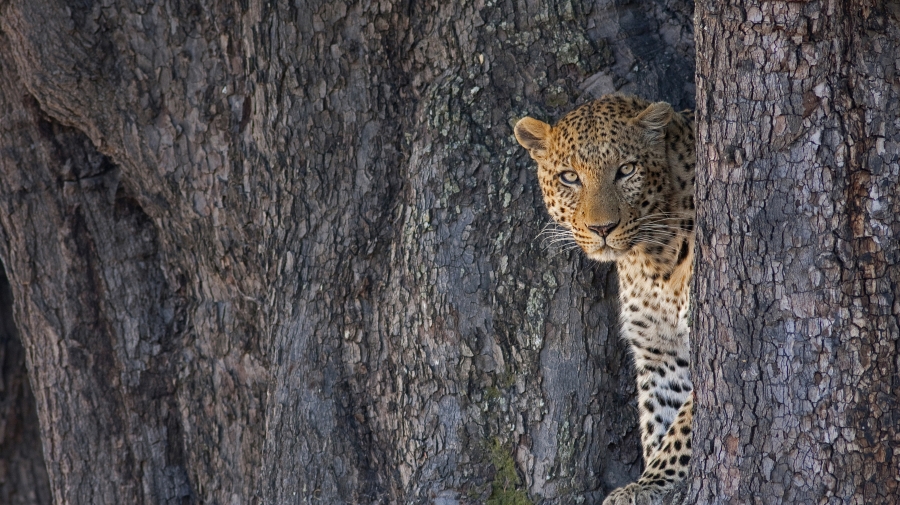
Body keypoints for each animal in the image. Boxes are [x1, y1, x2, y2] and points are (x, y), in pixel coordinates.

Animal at [512, 92, 696, 502]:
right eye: (569, 177)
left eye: (626, 170)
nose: (602, 228)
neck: (652, 259)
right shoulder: (660, 352)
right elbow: (659, 419)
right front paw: (651, 481)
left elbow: (685, 425)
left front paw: (653, 480)